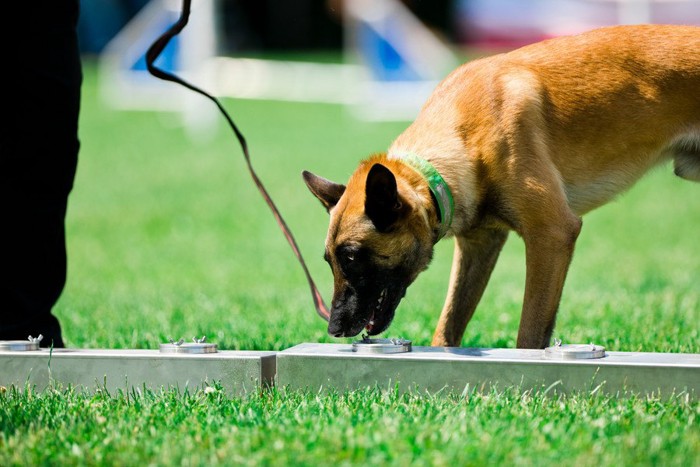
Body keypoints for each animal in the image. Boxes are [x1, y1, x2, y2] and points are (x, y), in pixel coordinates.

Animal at [302, 23, 700, 350]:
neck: (463, 136)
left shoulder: (552, 234)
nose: (334, 330)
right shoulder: (479, 245)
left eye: (352, 256)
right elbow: (447, 328)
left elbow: (530, 335)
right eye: (329, 260)